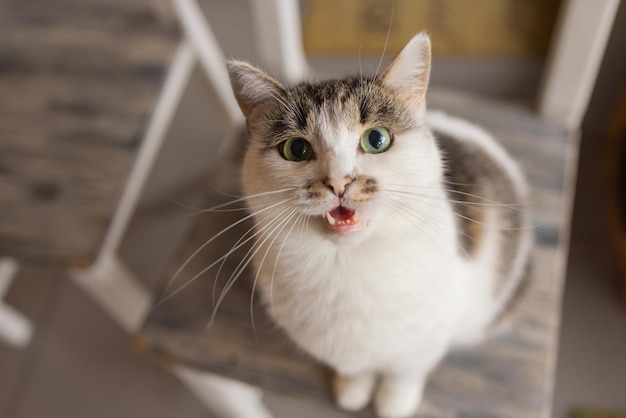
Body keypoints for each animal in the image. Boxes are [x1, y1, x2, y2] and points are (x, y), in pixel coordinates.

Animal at [227, 33, 528, 418]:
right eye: (296, 149)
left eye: (377, 139)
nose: (338, 182)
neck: (345, 266)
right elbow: (355, 368)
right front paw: (352, 389)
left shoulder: (424, 338)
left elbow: (404, 372)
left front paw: (393, 402)